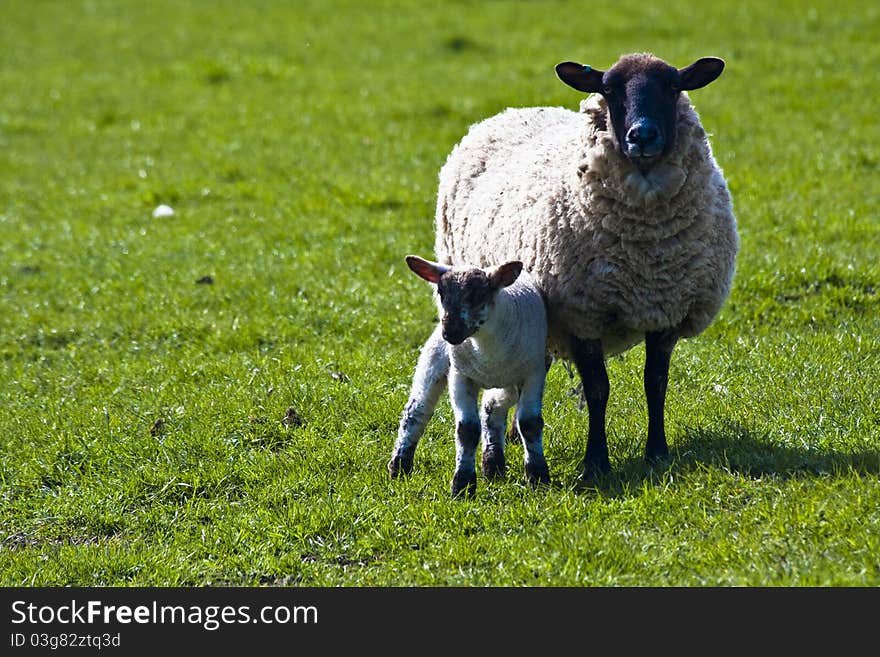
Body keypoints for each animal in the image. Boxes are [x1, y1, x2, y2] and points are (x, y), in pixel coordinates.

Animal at [386, 254, 548, 494]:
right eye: (441, 293)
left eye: (478, 296)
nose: (450, 332)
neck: (487, 351)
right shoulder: (460, 376)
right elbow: (467, 430)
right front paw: (462, 486)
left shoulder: (534, 373)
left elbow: (529, 424)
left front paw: (538, 478)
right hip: (435, 357)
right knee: (416, 411)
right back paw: (399, 466)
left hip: (509, 383)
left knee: (491, 410)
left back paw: (493, 466)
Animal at [436, 51, 740, 480]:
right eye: (609, 89)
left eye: (672, 86)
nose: (642, 136)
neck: (645, 253)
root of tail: (513, 110)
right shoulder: (582, 316)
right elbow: (598, 389)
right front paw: (595, 461)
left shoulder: (666, 310)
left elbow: (656, 383)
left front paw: (657, 452)